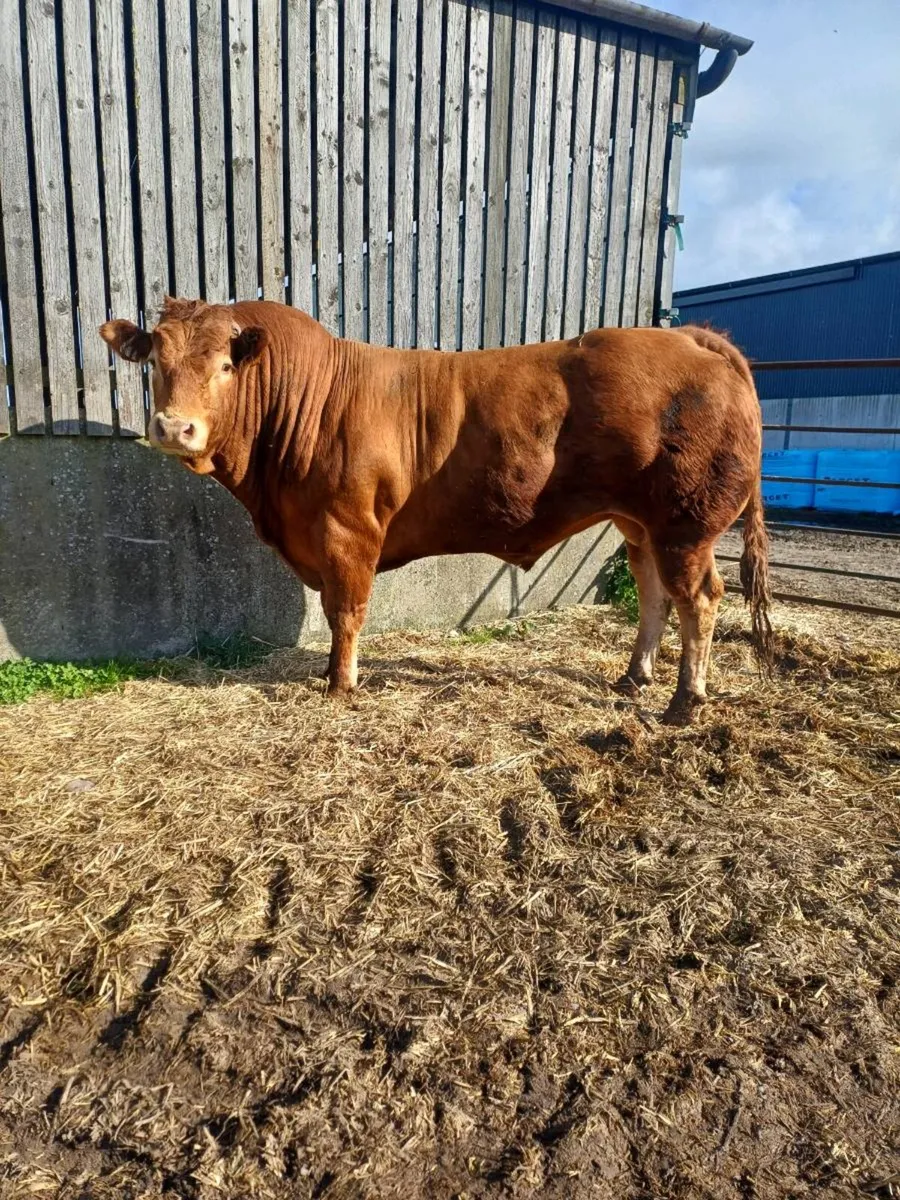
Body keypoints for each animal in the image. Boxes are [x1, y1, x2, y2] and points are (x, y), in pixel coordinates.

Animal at [100, 299, 772, 725]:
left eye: (224, 365)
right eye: (155, 363)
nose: (173, 428)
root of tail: (692, 338)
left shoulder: (347, 529)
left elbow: (345, 613)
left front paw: (341, 684)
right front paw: (330, 675)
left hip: (686, 522)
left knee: (699, 599)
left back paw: (684, 702)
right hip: (639, 522)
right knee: (655, 593)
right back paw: (634, 676)